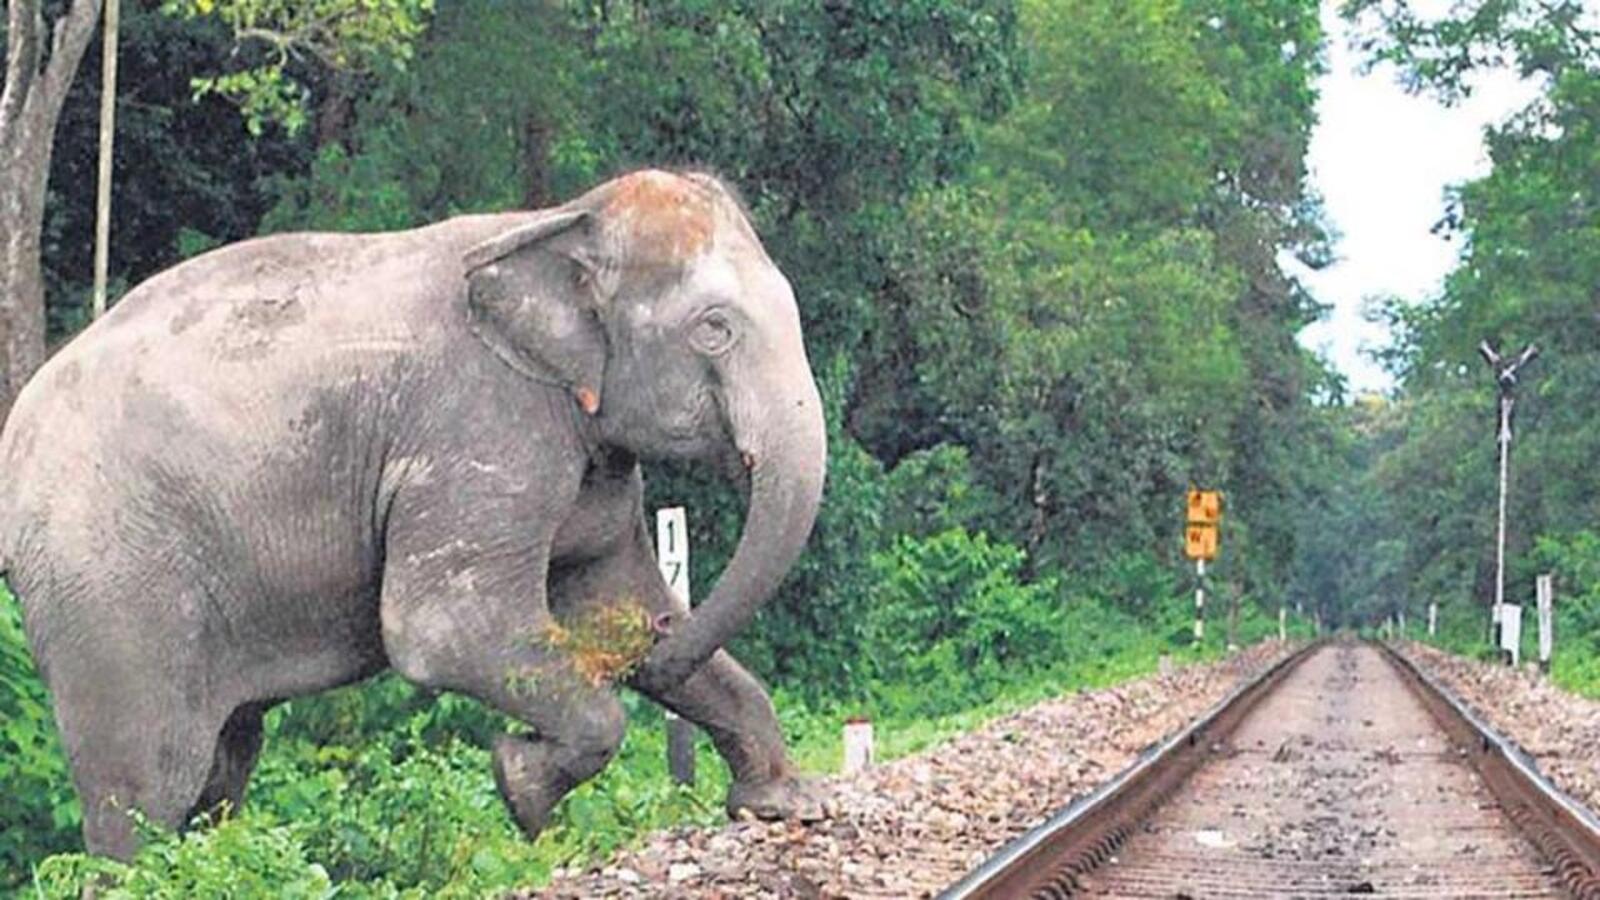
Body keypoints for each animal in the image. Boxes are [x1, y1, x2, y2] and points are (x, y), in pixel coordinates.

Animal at [0, 169, 827, 860]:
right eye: (714, 328)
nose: (661, 648)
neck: (557, 221)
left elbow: (608, 601)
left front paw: (784, 806)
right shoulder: (478, 432)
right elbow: (439, 628)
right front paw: (523, 787)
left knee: (223, 765)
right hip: (108, 582)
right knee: (149, 782)